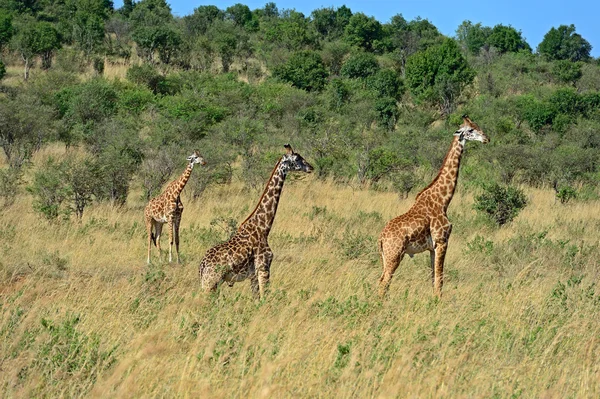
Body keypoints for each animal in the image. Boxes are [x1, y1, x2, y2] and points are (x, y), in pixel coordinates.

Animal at [200, 145, 314, 298]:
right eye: (297, 158)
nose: (310, 167)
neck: (263, 227)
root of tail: (201, 266)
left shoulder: (253, 275)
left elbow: (256, 298)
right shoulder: (263, 268)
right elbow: (265, 297)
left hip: (209, 284)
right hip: (211, 284)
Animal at [378, 115, 490, 296]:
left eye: (477, 125)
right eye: (471, 130)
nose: (487, 138)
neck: (443, 200)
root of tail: (381, 238)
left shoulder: (432, 248)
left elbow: (433, 279)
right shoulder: (442, 241)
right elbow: (440, 280)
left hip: (385, 256)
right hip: (394, 254)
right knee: (384, 282)